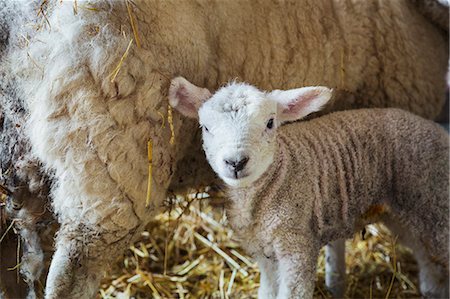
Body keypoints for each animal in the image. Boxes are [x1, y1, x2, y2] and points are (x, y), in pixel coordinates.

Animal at [170, 76, 450, 298]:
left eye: (270, 123)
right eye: (205, 127)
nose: (236, 162)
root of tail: (439, 131)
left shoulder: (297, 244)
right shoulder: (263, 251)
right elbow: (267, 292)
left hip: (434, 201)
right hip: (406, 212)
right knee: (426, 257)